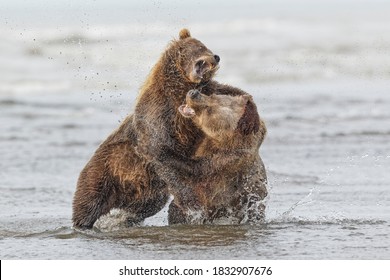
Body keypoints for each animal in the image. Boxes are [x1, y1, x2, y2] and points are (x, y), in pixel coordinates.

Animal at [165, 90, 268, 225]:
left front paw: (164, 152)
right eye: (213, 96)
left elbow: (192, 174)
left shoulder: (221, 166)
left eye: (209, 109)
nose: (193, 93)